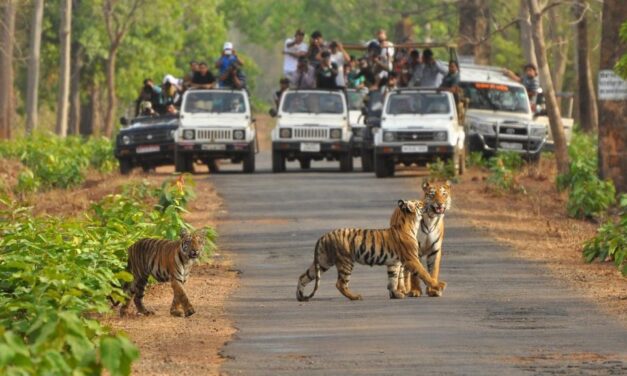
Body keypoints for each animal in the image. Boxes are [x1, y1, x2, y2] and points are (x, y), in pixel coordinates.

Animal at [296, 200, 446, 302]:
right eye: (419, 203)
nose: (427, 202)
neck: (410, 224)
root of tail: (324, 236)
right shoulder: (412, 259)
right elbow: (424, 273)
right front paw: (438, 286)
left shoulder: (394, 263)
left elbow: (392, 280)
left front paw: (396, 294)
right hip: (346, 262)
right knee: (340, 284)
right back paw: (355, 297)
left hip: (323, 262)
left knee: (303, 276)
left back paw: (300, 296)